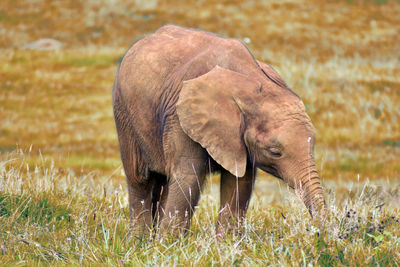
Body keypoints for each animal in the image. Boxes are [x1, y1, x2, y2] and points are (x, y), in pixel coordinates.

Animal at [111, 24, 324, 237]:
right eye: (275, 152)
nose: (316, 233)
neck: (248, 82)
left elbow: (239, 183)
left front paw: (225, 242)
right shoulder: (181, 118)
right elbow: (189, 179)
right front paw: (167, 244)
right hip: (123, 113)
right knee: (140, 178)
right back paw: (140, 240)